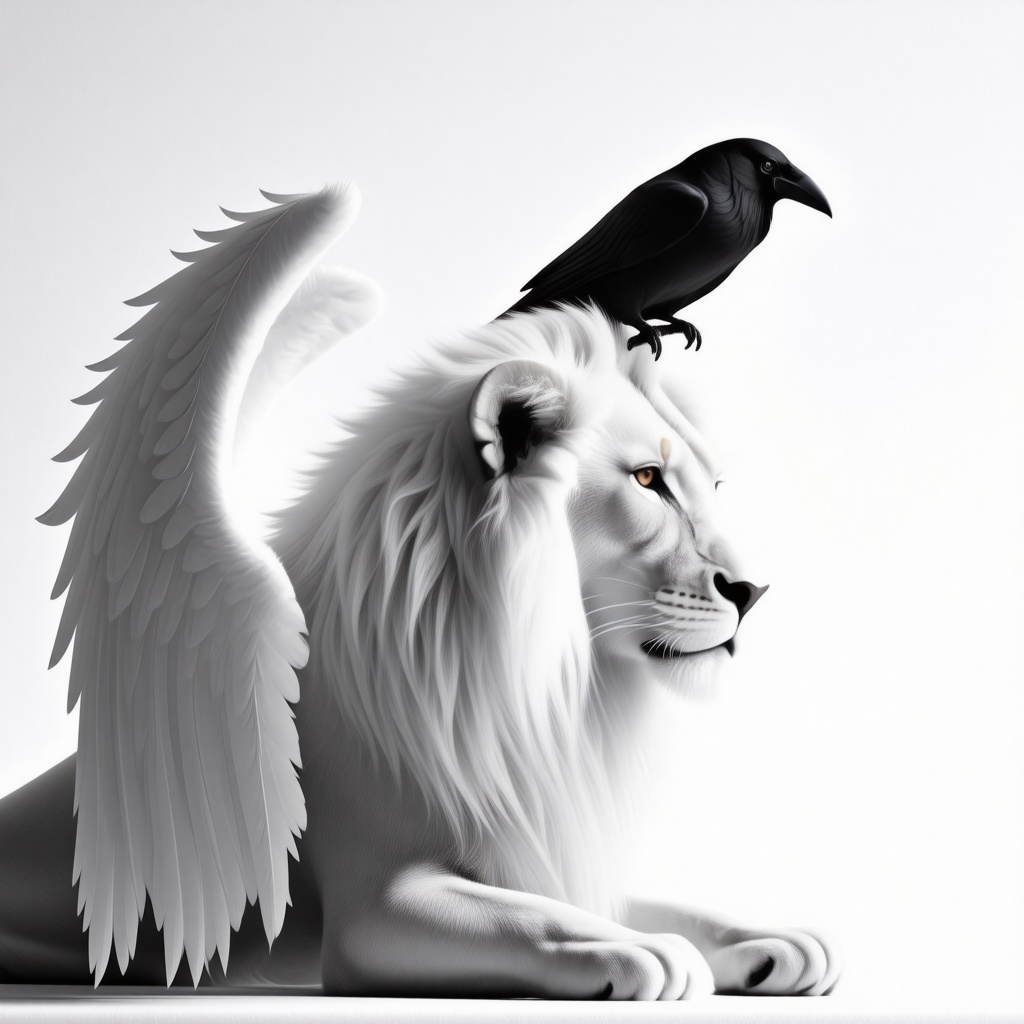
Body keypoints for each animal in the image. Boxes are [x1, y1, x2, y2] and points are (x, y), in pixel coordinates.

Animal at [0, 185, 840, 998]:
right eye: (645, 481)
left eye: (709, 487)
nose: (753, 590)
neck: (542, 680)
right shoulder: (374, 909)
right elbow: (534, 919)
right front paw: (643, 954)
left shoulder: (539, 842)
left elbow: (641, 902)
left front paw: (770, 942)